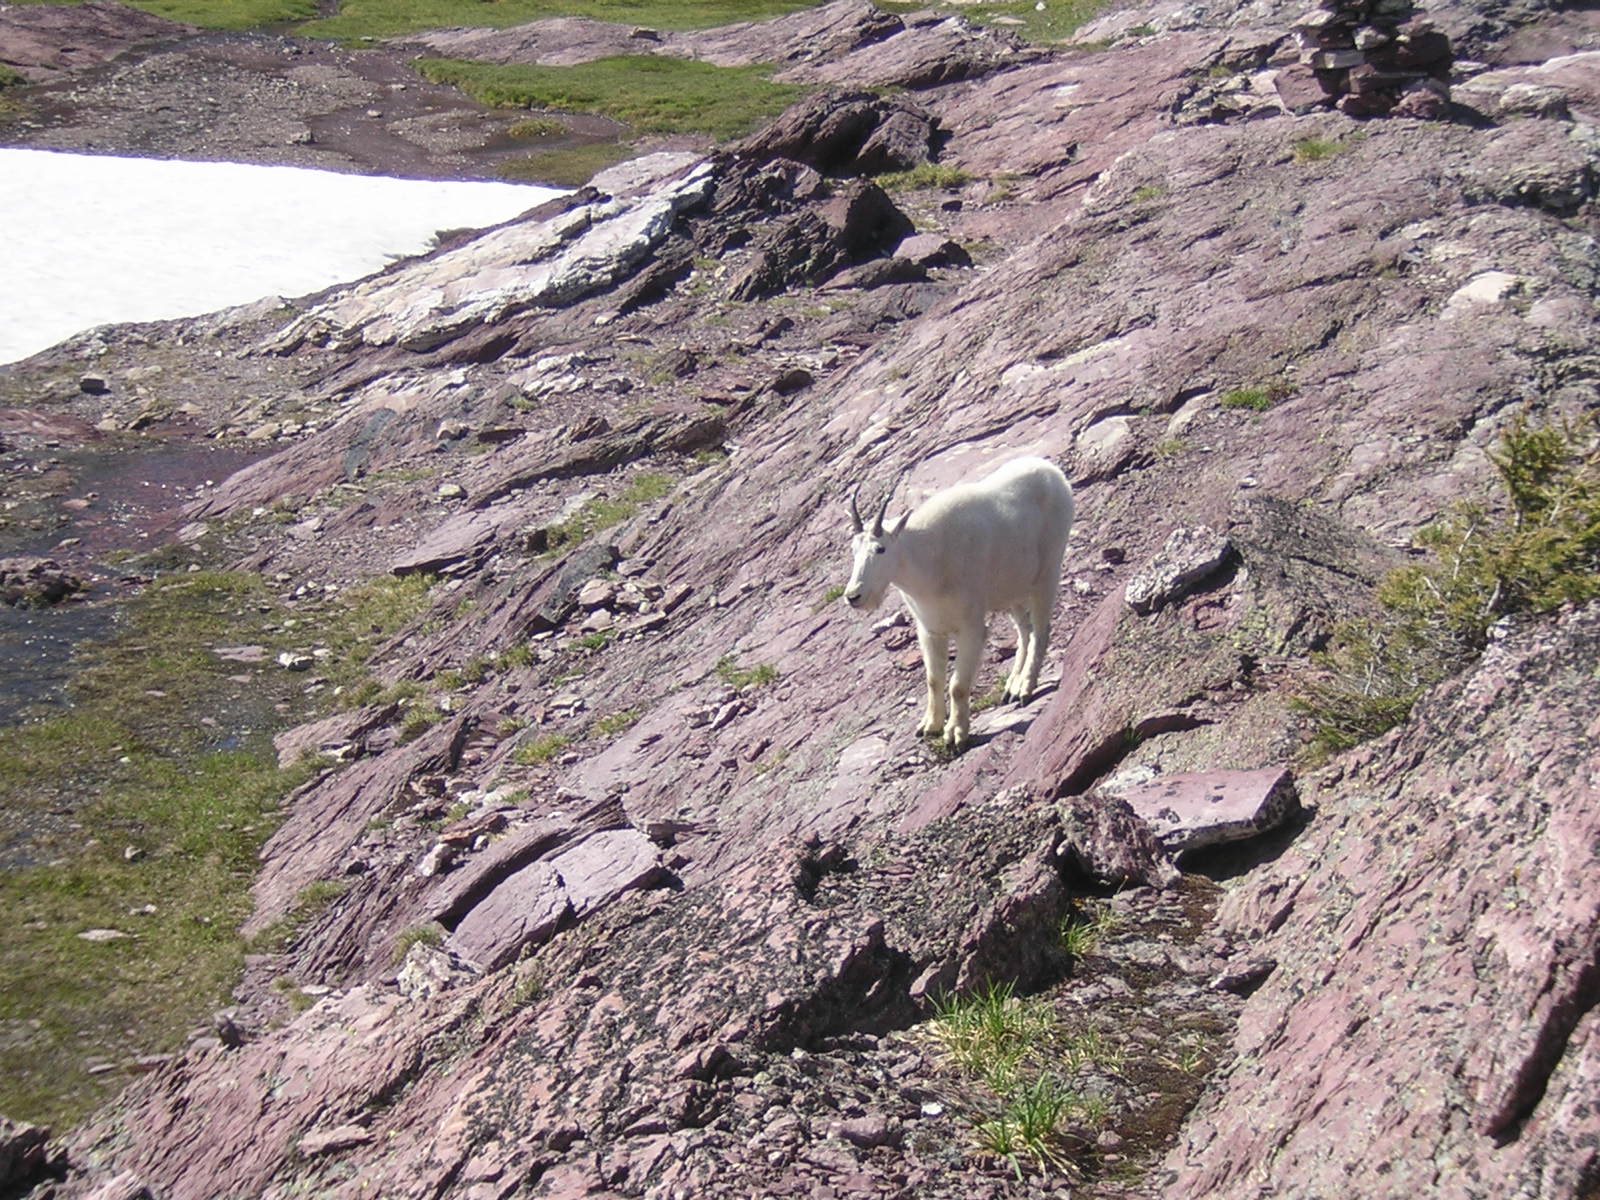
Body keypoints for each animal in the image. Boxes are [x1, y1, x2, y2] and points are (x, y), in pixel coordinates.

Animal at [842, 455, 1074, 751]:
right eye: (853, 550)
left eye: (880, 549)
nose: (854, 596)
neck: (927, 561)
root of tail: (1052, 471)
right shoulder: (930, 630)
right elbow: (933, 679)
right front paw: (929, 726)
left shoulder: (971, 628)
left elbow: (957, 685)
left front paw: (955, 734)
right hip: (1012, 589)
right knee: (1025, 632)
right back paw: (1012, 686)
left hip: (1047, 574)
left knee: (1041, 632)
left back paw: (1025, 688)